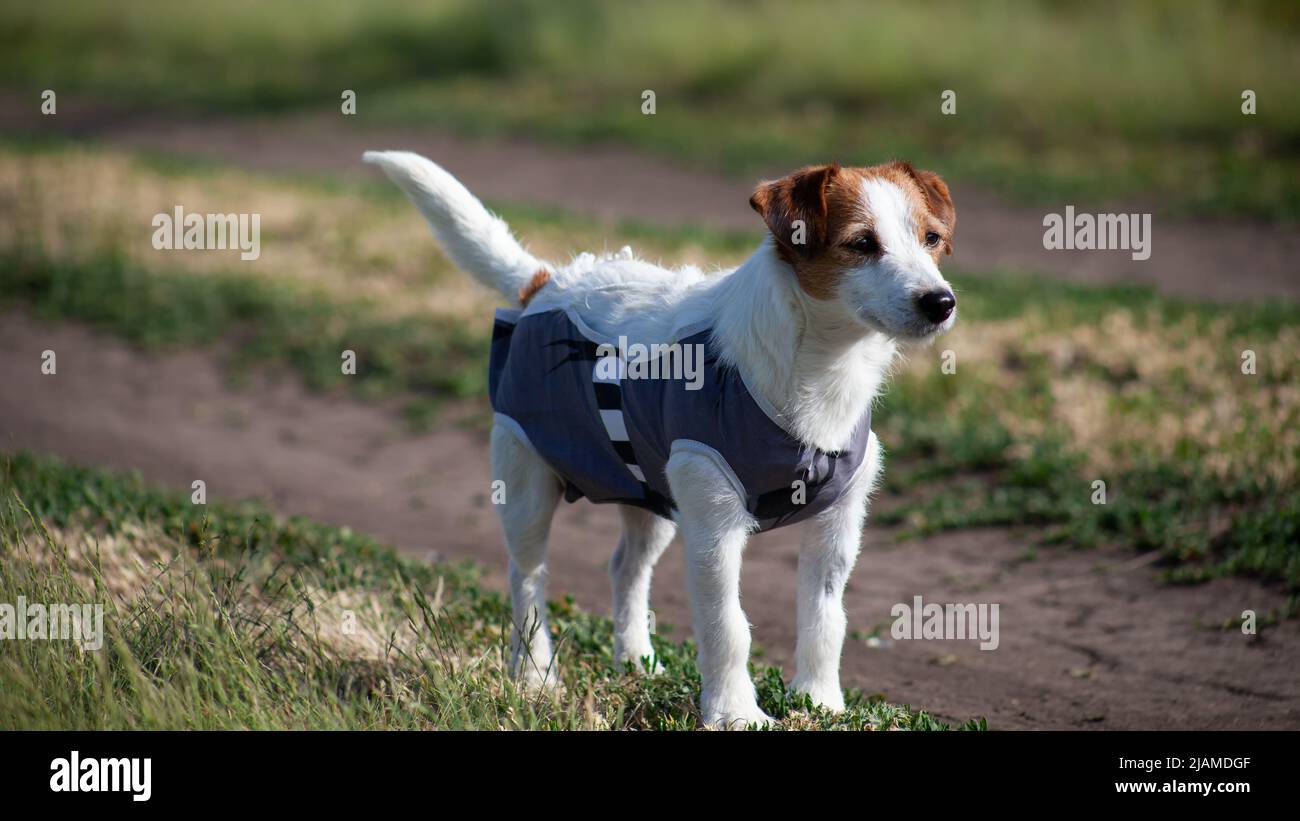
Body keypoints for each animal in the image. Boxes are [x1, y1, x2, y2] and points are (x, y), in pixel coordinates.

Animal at [364, 150, 956, 727]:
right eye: (862, 243)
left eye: (931, 239)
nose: (941, 302)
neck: (821, 366)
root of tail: (546, 284)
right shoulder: (714, 529)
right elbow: (728, 626)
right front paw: (736, 713)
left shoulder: (837, 529)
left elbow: (825, 617)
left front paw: (819, 700)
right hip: (526, 481)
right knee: (527, 577)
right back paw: (534, 673)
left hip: (651, 496)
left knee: (626, 568)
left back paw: (635, 658)